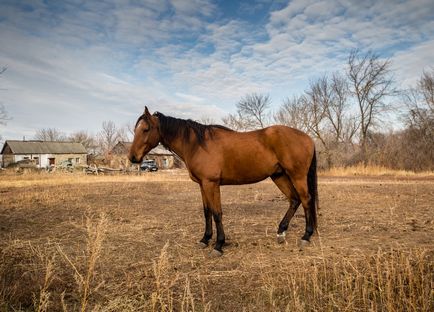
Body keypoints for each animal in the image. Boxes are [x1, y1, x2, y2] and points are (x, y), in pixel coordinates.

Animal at [130, 107, 318, 256]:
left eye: (146, 129)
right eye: (135, 130)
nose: (132, 157)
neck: (198, 145)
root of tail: (307, 138)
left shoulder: (211, 184)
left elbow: (217, 213)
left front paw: (218, 245)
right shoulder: (202, 185)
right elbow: (207, 212)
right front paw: (205, 239)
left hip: (297, 176)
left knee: (306, 199)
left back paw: (306, 236)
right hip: (279, 176)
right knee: (294, 200)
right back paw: (281, 232)